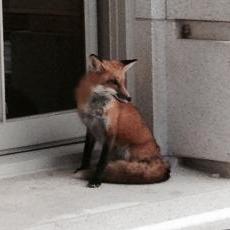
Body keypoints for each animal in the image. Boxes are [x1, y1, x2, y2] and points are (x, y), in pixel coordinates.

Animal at [74, 54, 170, 188]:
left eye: (123, 82)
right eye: (113, 82)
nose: (129, 98)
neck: (96, 109)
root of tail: (162, 160)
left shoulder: (110, 131)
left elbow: (102, 161)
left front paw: (96, 180)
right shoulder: (90, 128)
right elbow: (86, 153)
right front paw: (83, 168)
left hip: (128, 150)